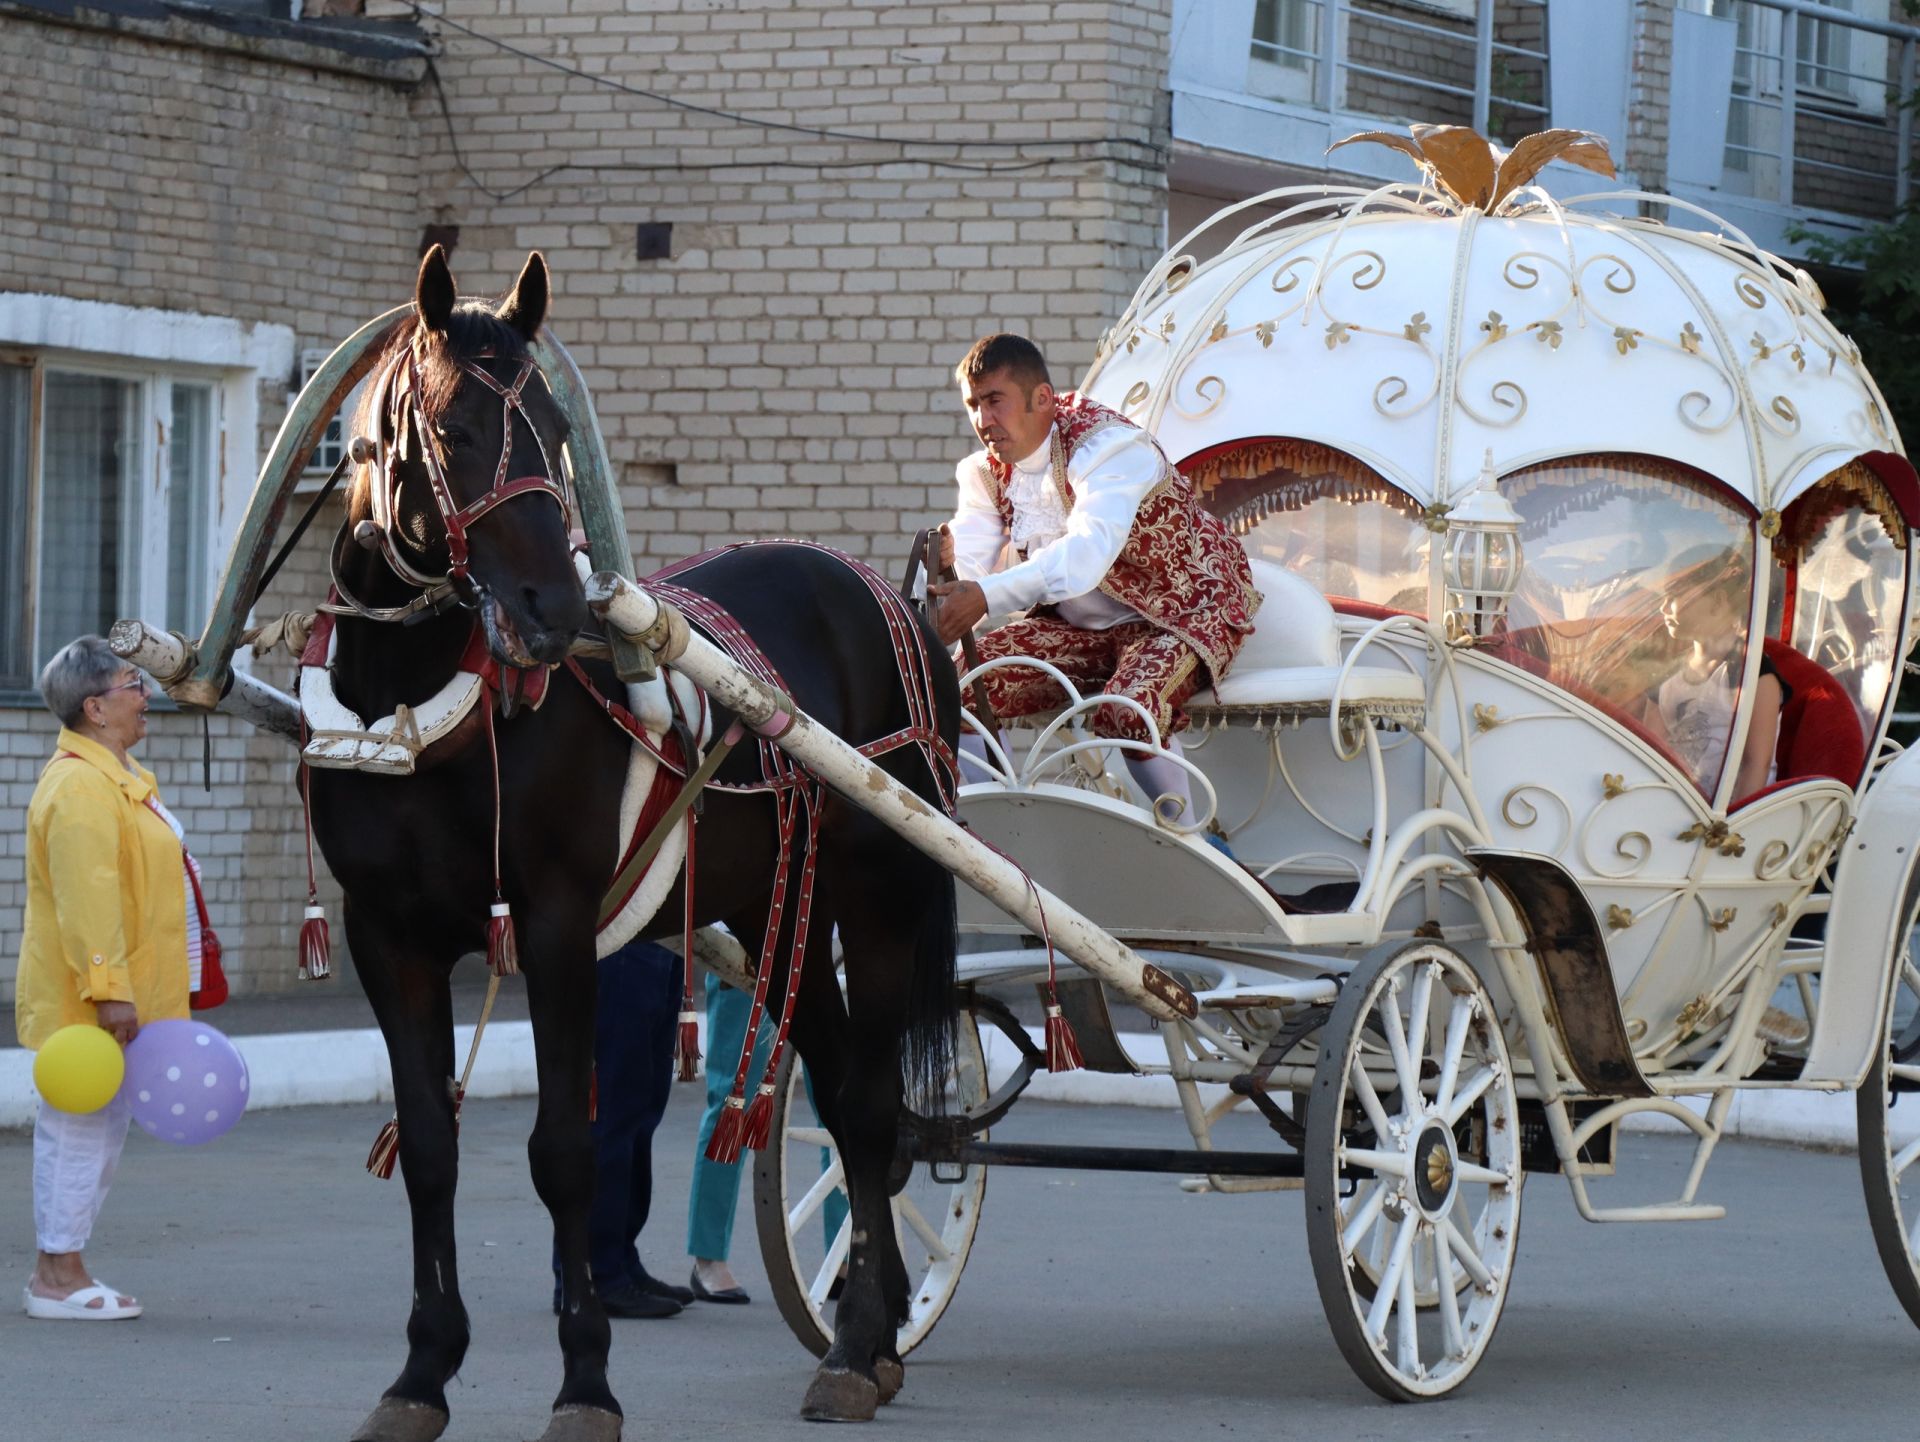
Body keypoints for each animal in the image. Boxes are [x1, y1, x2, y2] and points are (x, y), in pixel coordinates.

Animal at [311, 242, 960, 1436]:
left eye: (556, 430)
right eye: (453, 426)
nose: (554, 607)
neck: (420, 704)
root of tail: (881, 590)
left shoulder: (559, 926)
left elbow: (564, 1151)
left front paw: (585, 1381)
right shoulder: (390, 937)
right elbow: (428, 1147)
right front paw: (422, 1371)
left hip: (882, 892)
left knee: (869, 1106)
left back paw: (856, 1343)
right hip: (776, 910)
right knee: (845, 1091)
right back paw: (879, 1327)